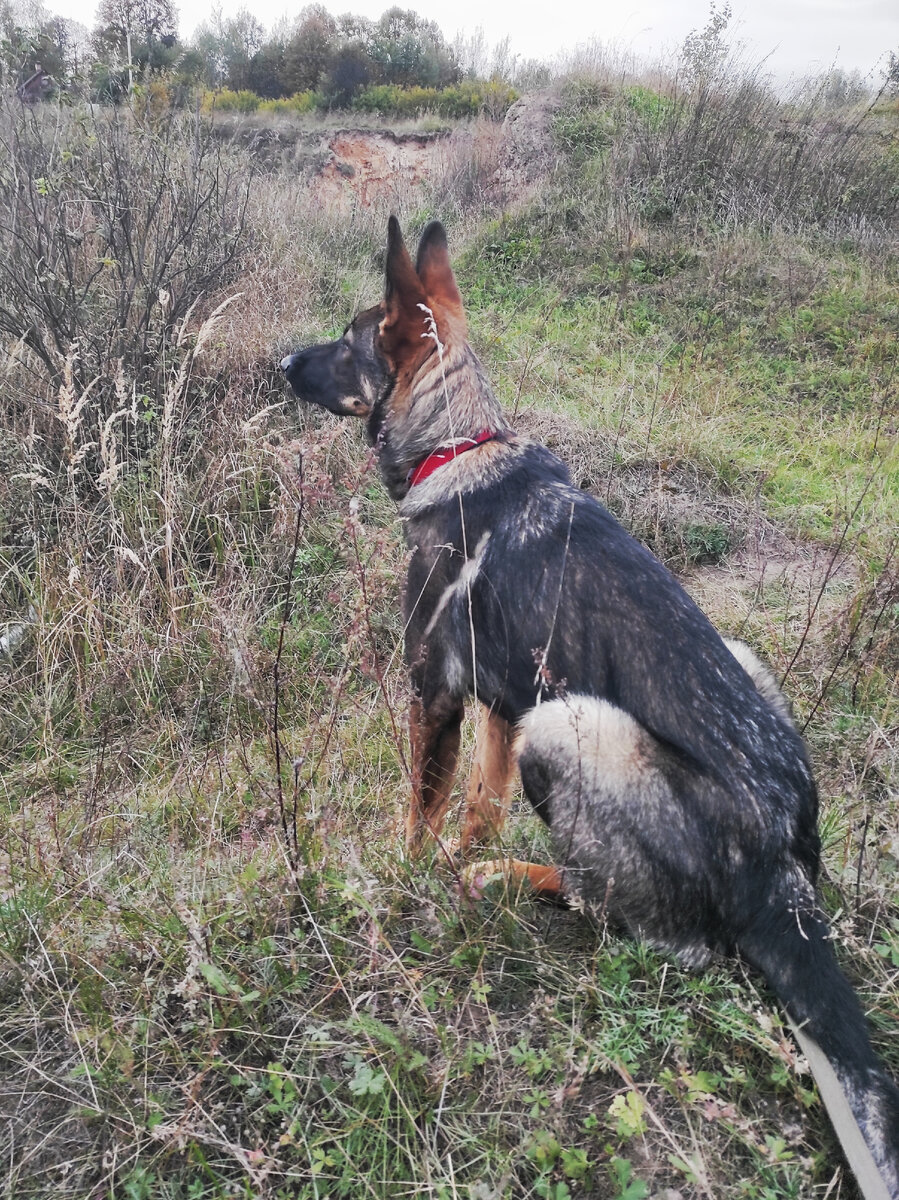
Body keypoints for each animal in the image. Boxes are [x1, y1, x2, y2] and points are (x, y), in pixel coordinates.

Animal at [284, 218, 897, 1200]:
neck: (459, 444)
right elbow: (479, 799)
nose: (278, 364)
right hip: (724, 662)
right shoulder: (502, 700)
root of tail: (784, 872)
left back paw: (509, 880)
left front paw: (409, 878)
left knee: (638, 922)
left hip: (569, 728)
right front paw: (462, 848)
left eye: (347, 343)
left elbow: (420, 811)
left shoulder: (438, 694)